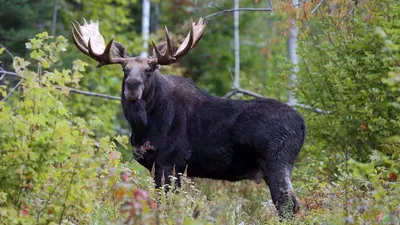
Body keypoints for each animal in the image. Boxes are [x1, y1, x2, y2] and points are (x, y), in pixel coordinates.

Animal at [70, 17, 306, 218]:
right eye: (125, 69)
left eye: (151, 69)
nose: (132, 86)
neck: (143, 125)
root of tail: (303, 125)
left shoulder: (171, 161)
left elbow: (169, 204)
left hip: (277, 161)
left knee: (287, 204)